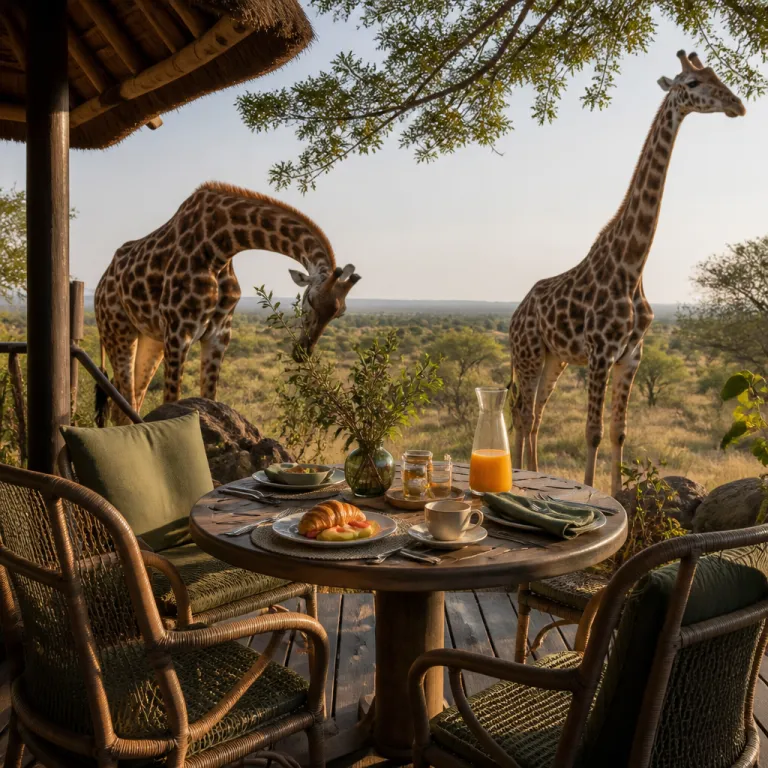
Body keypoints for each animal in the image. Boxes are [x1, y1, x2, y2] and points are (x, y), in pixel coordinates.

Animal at [95, 182, 360, 423]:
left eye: (340, 313)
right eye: (310, 300)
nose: (302, 352)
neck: (221, 245)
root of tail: (100, 286)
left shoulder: (219, 334)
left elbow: (209, 398)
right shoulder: (179, 330)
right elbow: (171, 401)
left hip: (151, 340)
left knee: (130, 403)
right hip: (118, 331)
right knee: (124, 405)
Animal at [509, 51, 746, 495]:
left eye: (717, 76)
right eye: (691, 83)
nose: (737, 104)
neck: (632, 264)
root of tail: (516, 314)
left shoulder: (631, 356)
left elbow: (619, 433)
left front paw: (620, 494)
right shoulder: (601, 352)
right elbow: (593, 433)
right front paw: (590, 492)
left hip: (554, 358)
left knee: (536, 416)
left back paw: (531, 472)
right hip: (527, 353)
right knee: (521, 413)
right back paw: (518, 474)